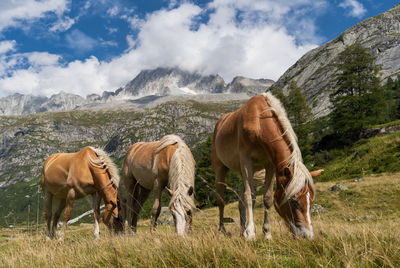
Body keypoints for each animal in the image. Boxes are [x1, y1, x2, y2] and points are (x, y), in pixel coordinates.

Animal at [212, 92, 322, 241]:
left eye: (311, 199)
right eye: (294, 201)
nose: (308, 236)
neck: (259, 122)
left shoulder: (270, 165)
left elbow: (267, 198)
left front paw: (267, 233)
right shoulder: (246, 162)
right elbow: (250, 196)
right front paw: (251, 233)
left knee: (240, 202)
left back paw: (242, 231)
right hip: (220, 169)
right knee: (221, 200)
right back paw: (223, 230)